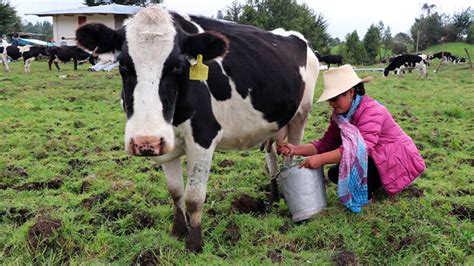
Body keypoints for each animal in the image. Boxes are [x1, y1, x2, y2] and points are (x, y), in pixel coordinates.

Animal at [76, 5, 320, 251]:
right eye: (124, 65)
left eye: (177, 66)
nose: (145, 141)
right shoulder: (166, 144)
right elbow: (176, 192)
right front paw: (177, 231)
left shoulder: (204, 137)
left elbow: (194, 197)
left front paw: (194, 242)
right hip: (273, 124)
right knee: (272, 157)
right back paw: (273, 196)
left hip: (301, 115)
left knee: (291, 157)